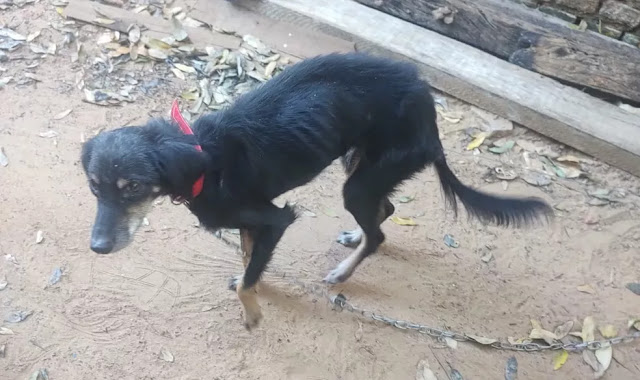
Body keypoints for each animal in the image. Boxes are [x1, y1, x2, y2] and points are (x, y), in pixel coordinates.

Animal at [79, 52, 552, 330]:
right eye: (94, 188)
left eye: (133, 187)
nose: (97, 248)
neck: (202, 158)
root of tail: (429, 110)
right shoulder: (256, 222)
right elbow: (249, 261)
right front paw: (257, 281)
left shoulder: (276, 217)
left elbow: (248, 278)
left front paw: (253, 312)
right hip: (360, 166)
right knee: (385, 210)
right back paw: (354, 238)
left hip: (359, 183)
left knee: (380, 232)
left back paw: (343, 271)